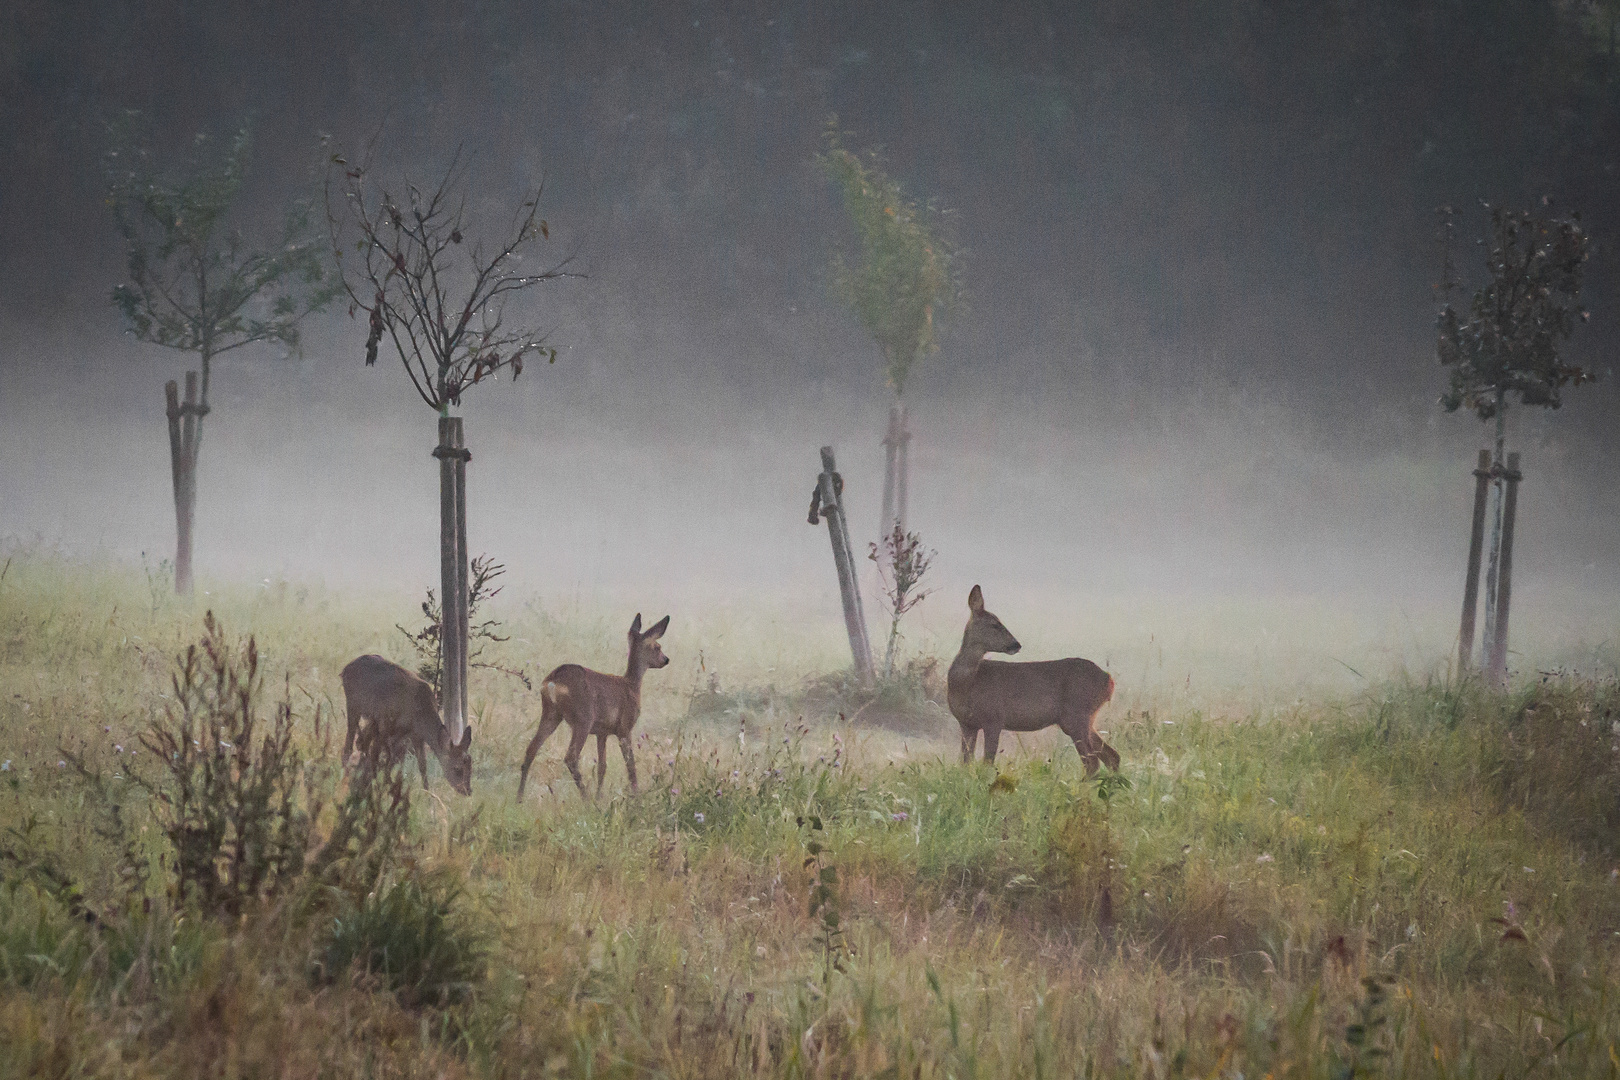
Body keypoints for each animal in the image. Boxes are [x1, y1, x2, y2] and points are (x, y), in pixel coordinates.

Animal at [338, 654, 473, 799]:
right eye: (457, 768)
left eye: (471, 766)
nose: (467, 790)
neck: (419, 714)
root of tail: (345, 669)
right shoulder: (385, 724)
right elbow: (377, 755)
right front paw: (377, 787)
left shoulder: (414, 735)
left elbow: (420, 764)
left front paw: (426, 793)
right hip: (354, 706)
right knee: (349, 746)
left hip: (372, 720)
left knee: (362, 744)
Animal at [518, 612, 670, 799]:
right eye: (657, 646)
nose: (666, 659)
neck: (631, 685)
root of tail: (552, 681)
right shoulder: (624, 727)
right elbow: (630, 765)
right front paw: (635, 796)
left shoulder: (602, 732)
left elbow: (602, 767)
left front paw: (600, 798)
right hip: (583, 718)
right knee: (571, 757)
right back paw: (586, 799)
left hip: (551, 713)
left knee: (531, 749)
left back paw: (519, 798)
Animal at [946, 586, 1121, 773]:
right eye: (994, 624)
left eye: (1000, 622)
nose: (1016, 644)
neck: (968, 682)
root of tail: (1109, 680)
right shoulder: (966, 724)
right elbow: (965, 762)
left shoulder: (994, 719)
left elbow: (987, 763)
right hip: (1083, 718)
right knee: (1112, 756)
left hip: (1076, 714)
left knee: (1093, 762)